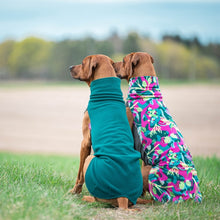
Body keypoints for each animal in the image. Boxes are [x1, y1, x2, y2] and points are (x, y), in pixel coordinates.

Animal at [69, 54, 151, 209]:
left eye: (82, 63)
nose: (70, 67)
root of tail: (123, 197)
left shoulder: (85, 142)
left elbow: (79, 175)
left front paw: (74, 191)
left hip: (90, 159)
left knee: (97, 199)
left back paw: (87, 198)